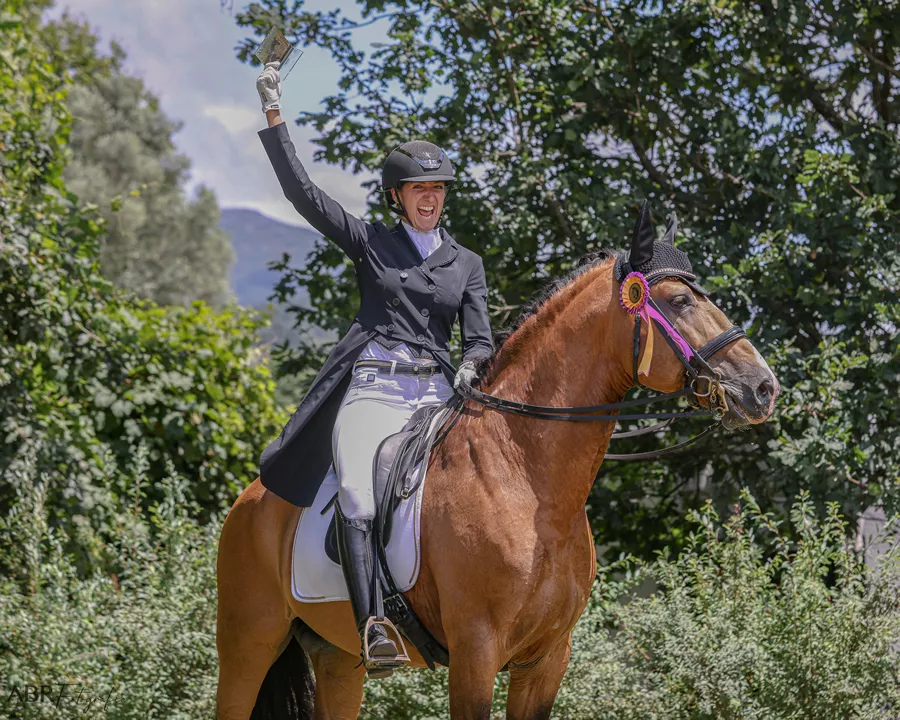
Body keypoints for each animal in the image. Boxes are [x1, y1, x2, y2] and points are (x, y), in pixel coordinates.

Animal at [214, 228, 776, 716]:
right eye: (680, 301)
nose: (763, 387)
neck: (528, 483)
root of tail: (251, 498)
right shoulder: (475, 655)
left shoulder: (546, 660)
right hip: (247, 647)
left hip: (337, 658)